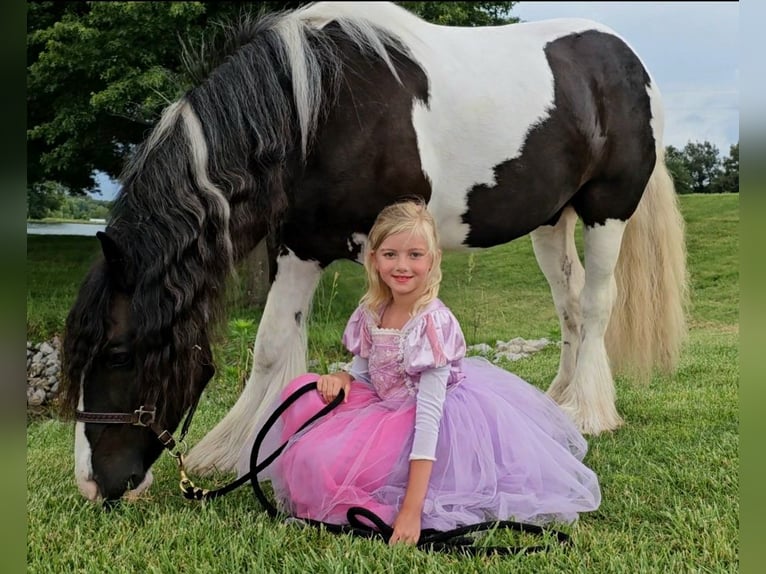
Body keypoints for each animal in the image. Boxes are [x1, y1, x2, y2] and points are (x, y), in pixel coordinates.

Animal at [61, 1, 688, 504]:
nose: (94, 484)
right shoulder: (294, 246)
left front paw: (240, 450)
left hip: (607, 212)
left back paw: (588, 412)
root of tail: (628, 60)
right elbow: (277, 341)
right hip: (550, 223)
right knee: (570, 304)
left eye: (118, 355)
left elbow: (273, 348)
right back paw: (557, 401)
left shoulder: (321, 248)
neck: (314, 112)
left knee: (598, 303)